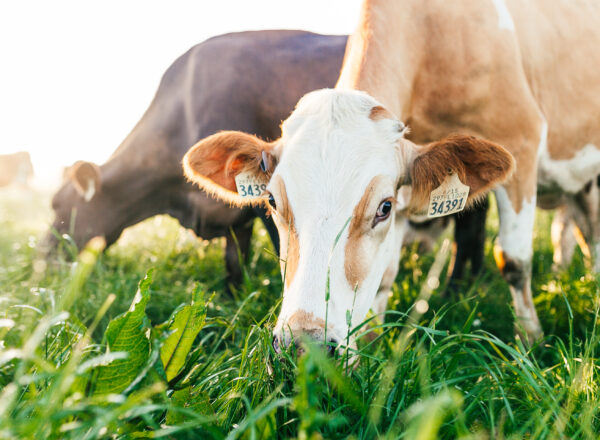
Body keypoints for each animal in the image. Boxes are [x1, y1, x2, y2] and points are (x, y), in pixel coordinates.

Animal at [185, 0, 600, 350]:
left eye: (382, 207)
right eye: (272, 200)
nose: (305, 346)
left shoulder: (521, 139)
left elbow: (514, 260)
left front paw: (529, 341)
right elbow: (385, 274)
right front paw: (369, 340)